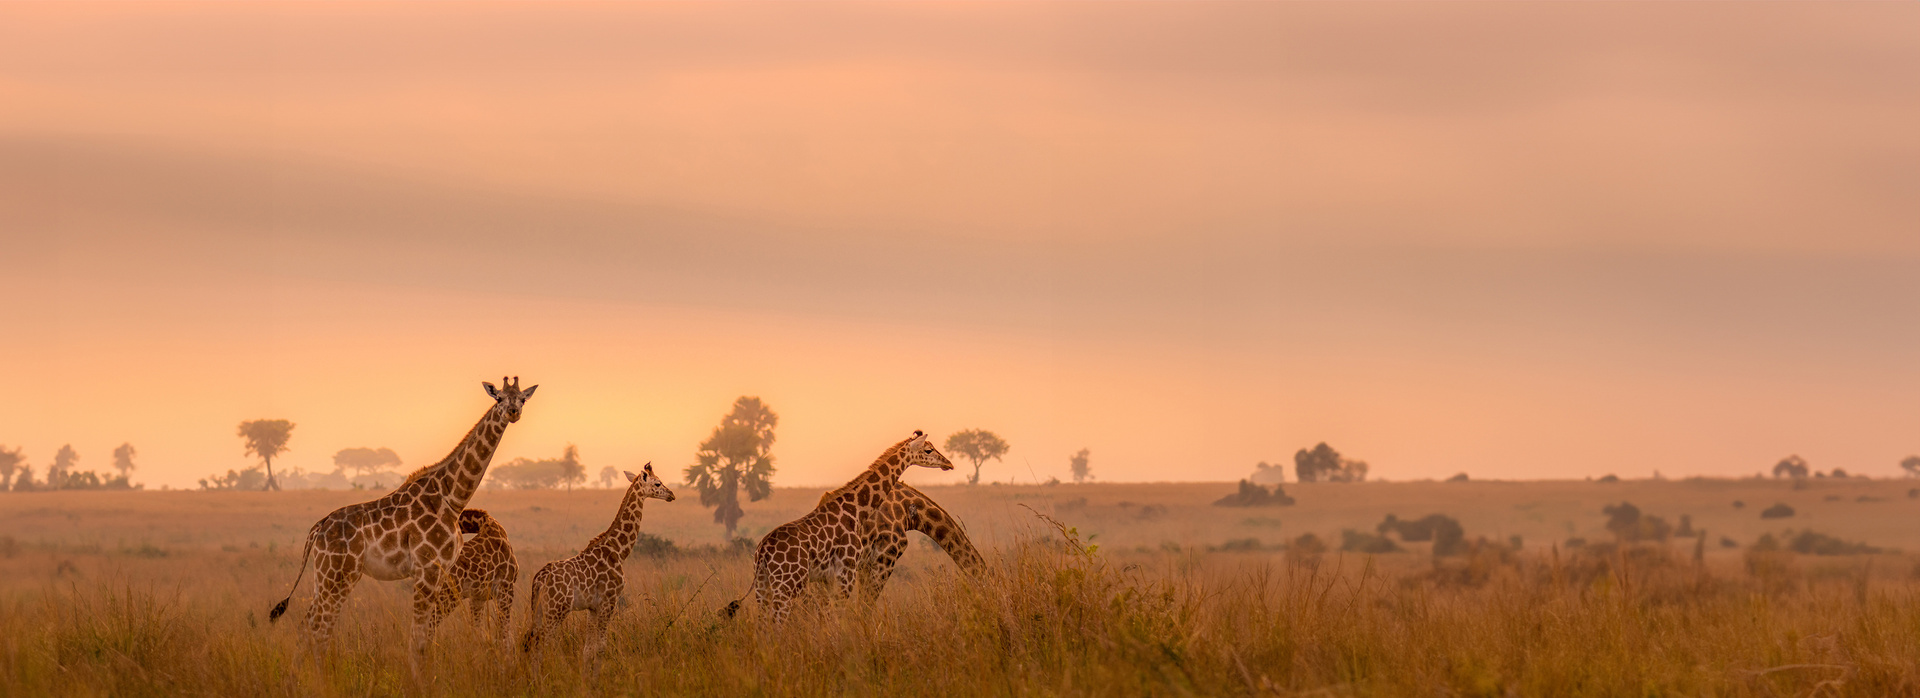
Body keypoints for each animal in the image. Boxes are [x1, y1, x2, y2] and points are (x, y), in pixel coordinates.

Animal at [522, 460, 679, 674]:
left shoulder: (592, 607)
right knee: (541, 643)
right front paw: (596, 678)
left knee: (531, 642)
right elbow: (602, 647)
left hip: (537, 610)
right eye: (657, 483)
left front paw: (586, 678)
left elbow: (588, 649)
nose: (671, 495)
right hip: (557, 609)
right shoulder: (609, 600)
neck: (618, 551)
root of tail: (539, 579)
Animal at [752, 427, 956, 625]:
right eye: (928, 450)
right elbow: (838, 613)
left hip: (763, 585)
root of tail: (763, 552)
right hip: (787, 583)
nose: (949, 464)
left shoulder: (831, 576)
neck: (855, 510)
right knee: (779, 622)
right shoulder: (847, 569)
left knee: (764, 623)